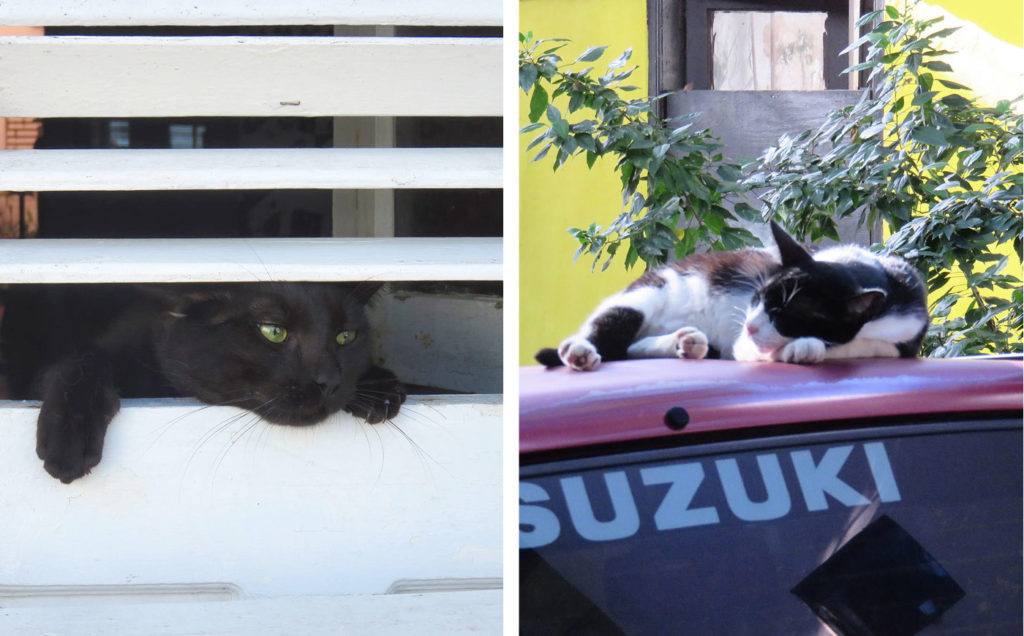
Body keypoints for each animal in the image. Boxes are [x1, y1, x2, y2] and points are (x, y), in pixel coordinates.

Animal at [0, 280, 407, 481]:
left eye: (345, 337)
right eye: (273, 331)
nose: (328, 381)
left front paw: (380, 388)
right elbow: (83, 360)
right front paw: (69, 437)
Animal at [536, 221, 929, 368]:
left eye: (785, 313)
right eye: (757, 298)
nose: (752, 325)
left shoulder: (909, 333)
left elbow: (869, 346)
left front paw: (806, 345)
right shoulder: (744, 344)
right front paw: (805, 347)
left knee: (631, 349)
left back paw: (686, 342)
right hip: (649, 292)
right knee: (609, 334)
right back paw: (581, 352)